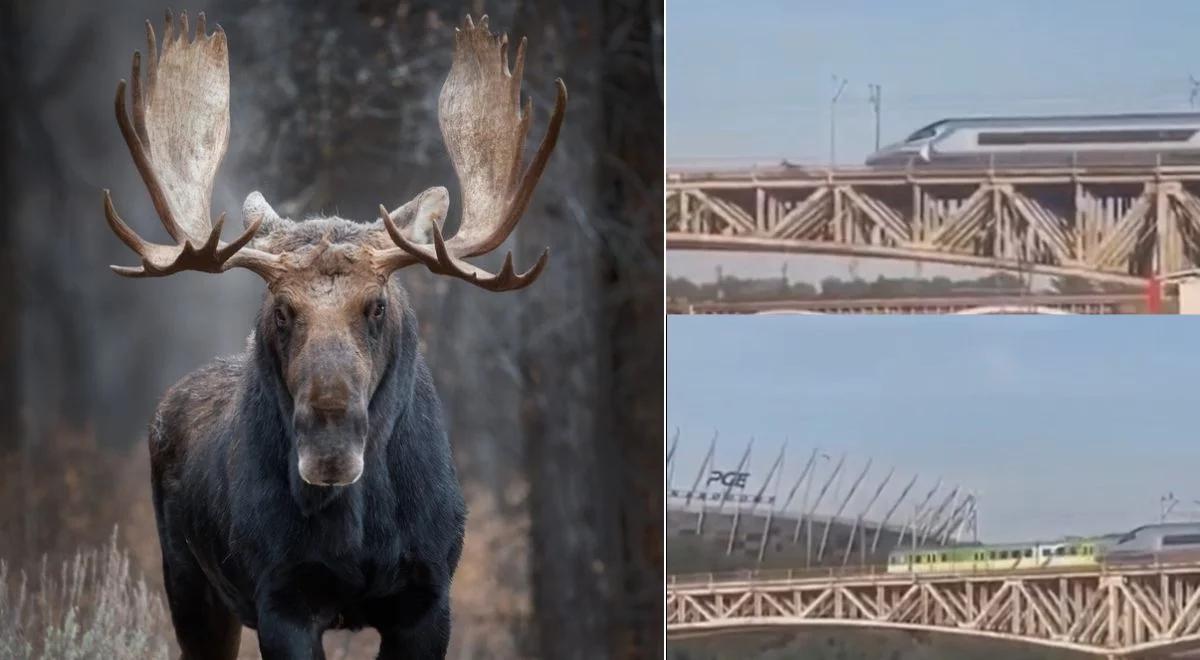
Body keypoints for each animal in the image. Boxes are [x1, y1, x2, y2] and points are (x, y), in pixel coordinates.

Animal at [100, 10, 564, 660]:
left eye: (377, 306)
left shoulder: (428, 597)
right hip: (188, 583)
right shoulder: (282, 597)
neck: (360, 535)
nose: (330, 444)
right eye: (281, 310)